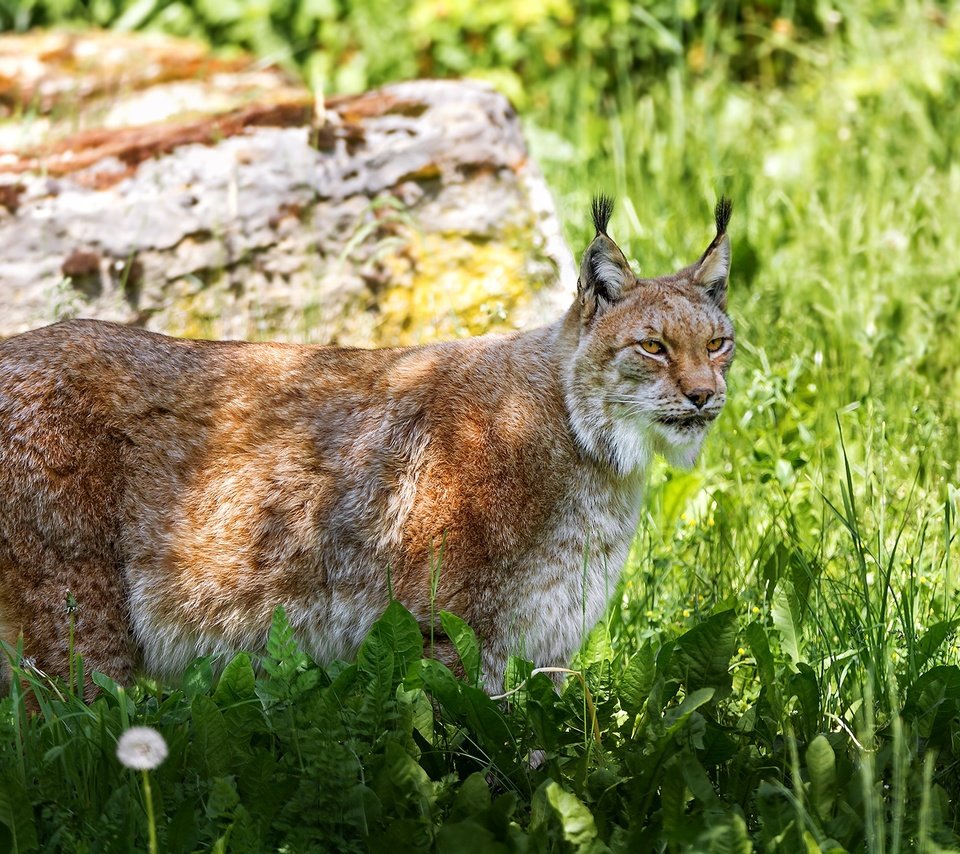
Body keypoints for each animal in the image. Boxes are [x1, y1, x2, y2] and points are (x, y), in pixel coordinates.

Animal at [0, 199, 736, 696]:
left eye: (718, 343)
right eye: (653, 347)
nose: (704, 396)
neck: (595, 456)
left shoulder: (546, 641)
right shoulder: (446, 627)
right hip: (75, 630)